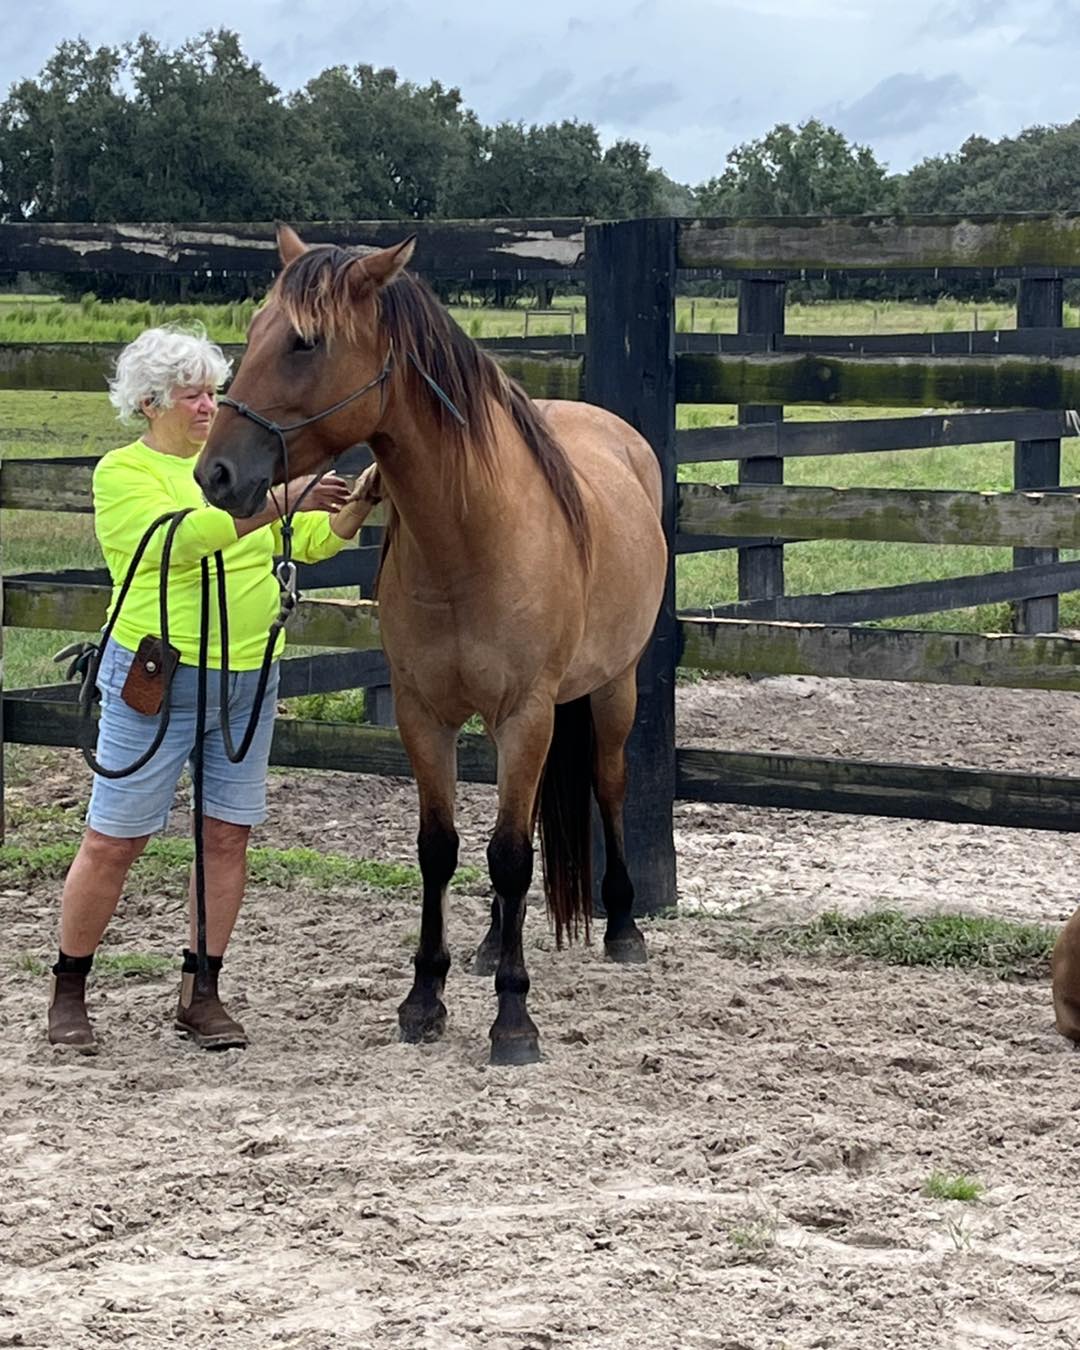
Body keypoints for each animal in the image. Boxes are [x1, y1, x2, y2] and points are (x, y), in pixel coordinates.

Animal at [196, 225, 667, 1065]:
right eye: (252, 329)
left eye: (305, 342)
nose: (215, 475)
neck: (469, 537)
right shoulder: (424, 714)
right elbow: (442, 848)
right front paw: (425, 998)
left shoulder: (524, 714)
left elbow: (509, 856)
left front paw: (514, 1019)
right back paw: (489, 945)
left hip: (614, 687)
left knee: (606, 788)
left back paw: (621, 926)